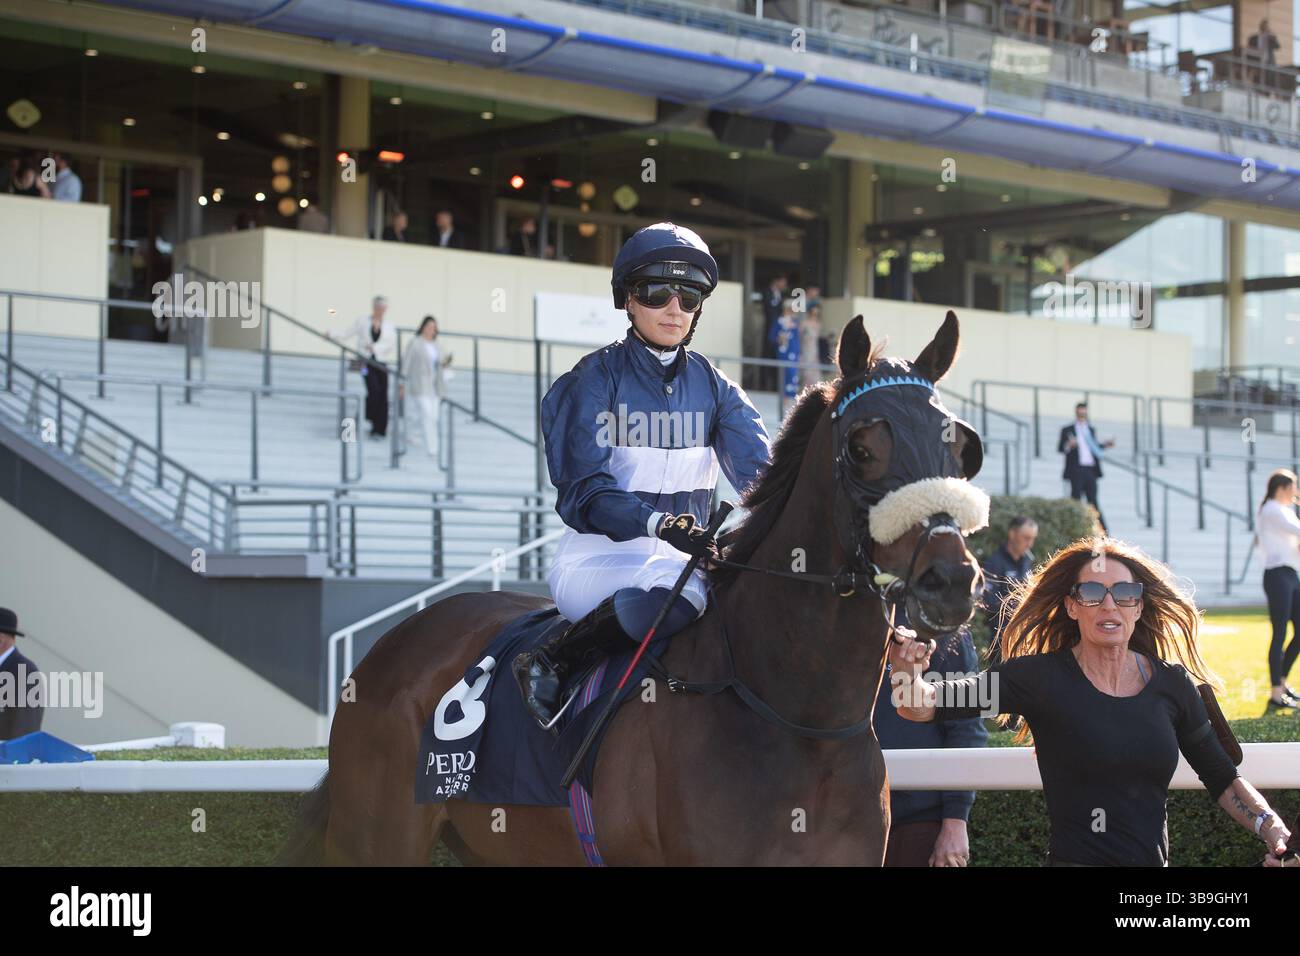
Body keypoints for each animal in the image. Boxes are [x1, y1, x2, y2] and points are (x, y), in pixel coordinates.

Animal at [278, 311, 987, 866]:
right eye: (862, 448)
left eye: (962, 451)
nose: (951, 579)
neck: (797, 718)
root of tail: (392, 643)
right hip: (376, 839)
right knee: (637, 601)